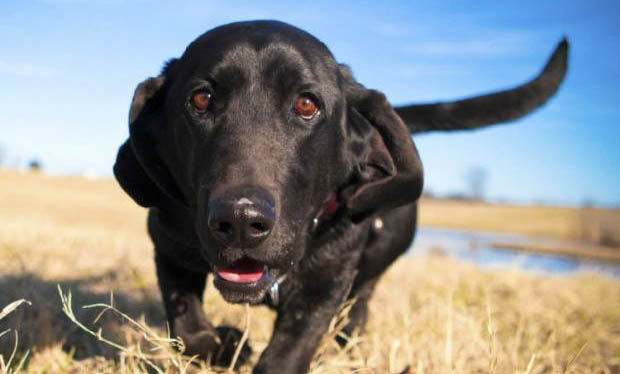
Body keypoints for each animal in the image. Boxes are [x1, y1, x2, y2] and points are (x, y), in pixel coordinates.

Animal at [114, 21, 568, 374]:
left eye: (306, 104)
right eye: (201, 98)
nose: (240, 220)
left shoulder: (326, 286)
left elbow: (286, 354)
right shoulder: (170, 248)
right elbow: (187, 326)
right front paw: (225, 343)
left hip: (367, 277)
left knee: (356, 315)